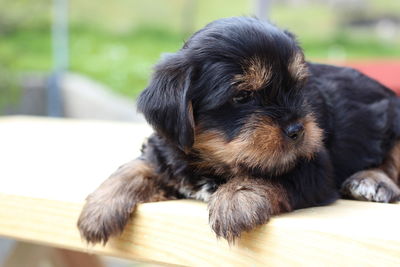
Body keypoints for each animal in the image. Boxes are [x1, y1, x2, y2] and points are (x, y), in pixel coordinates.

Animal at [77, 17, 400, 245]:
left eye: (297, 89)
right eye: (243, 97)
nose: (297, 129)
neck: (212, 159)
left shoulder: (313, 165)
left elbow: (270, 172)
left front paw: (235, 199)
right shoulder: (169, 149)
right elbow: (137, 167)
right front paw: (99, 207)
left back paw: (371, 180)